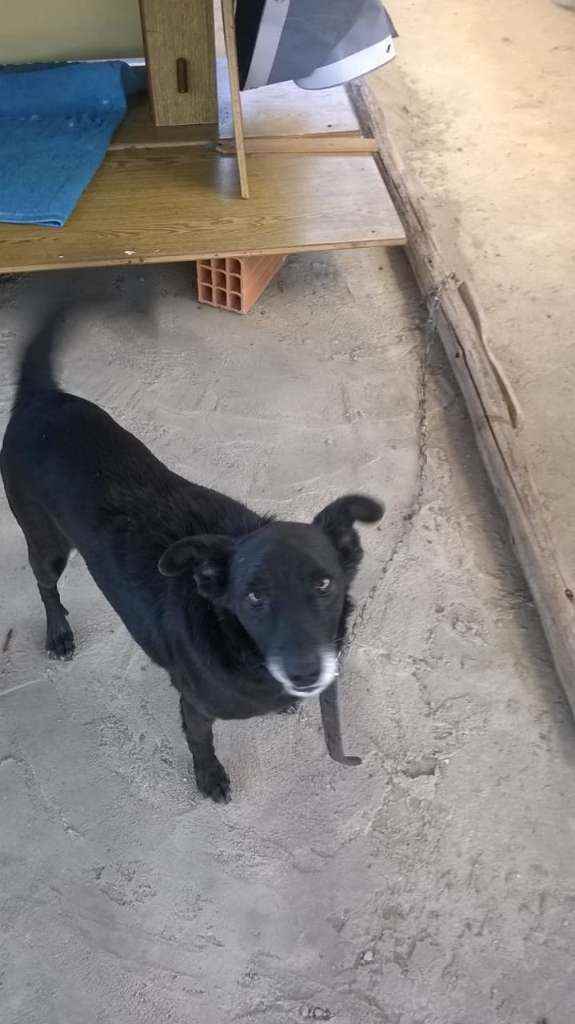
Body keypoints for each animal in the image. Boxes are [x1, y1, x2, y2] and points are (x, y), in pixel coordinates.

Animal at [1, 308, 384, 802]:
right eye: (253, 598)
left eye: (324, 584)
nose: (305, 675)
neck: (237, 643)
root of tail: (40, 398)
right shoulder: (194, 704)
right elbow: (200, 742)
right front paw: (210, 777)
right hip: (47, 542)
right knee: (45, 584)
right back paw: (58, 634)